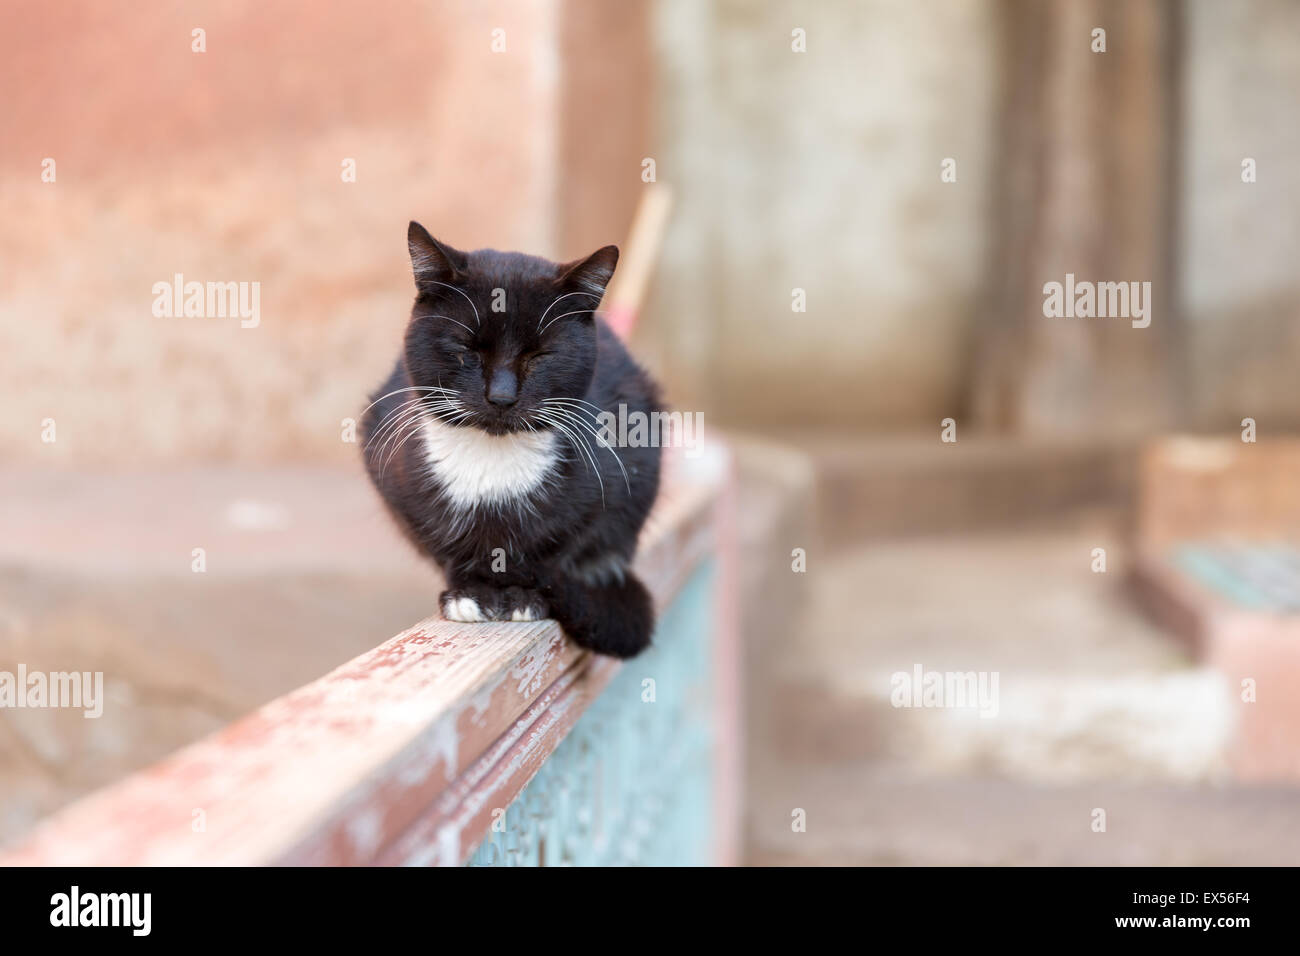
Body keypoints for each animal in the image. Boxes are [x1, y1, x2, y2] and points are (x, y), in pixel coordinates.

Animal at [361, 223, 665, 658]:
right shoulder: (391, 469)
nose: (501, 396)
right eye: (466, 349)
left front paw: (524, 596)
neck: (492, 461)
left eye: (539, 356)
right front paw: (468, 594)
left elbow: (559, 542)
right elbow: (441, 542)